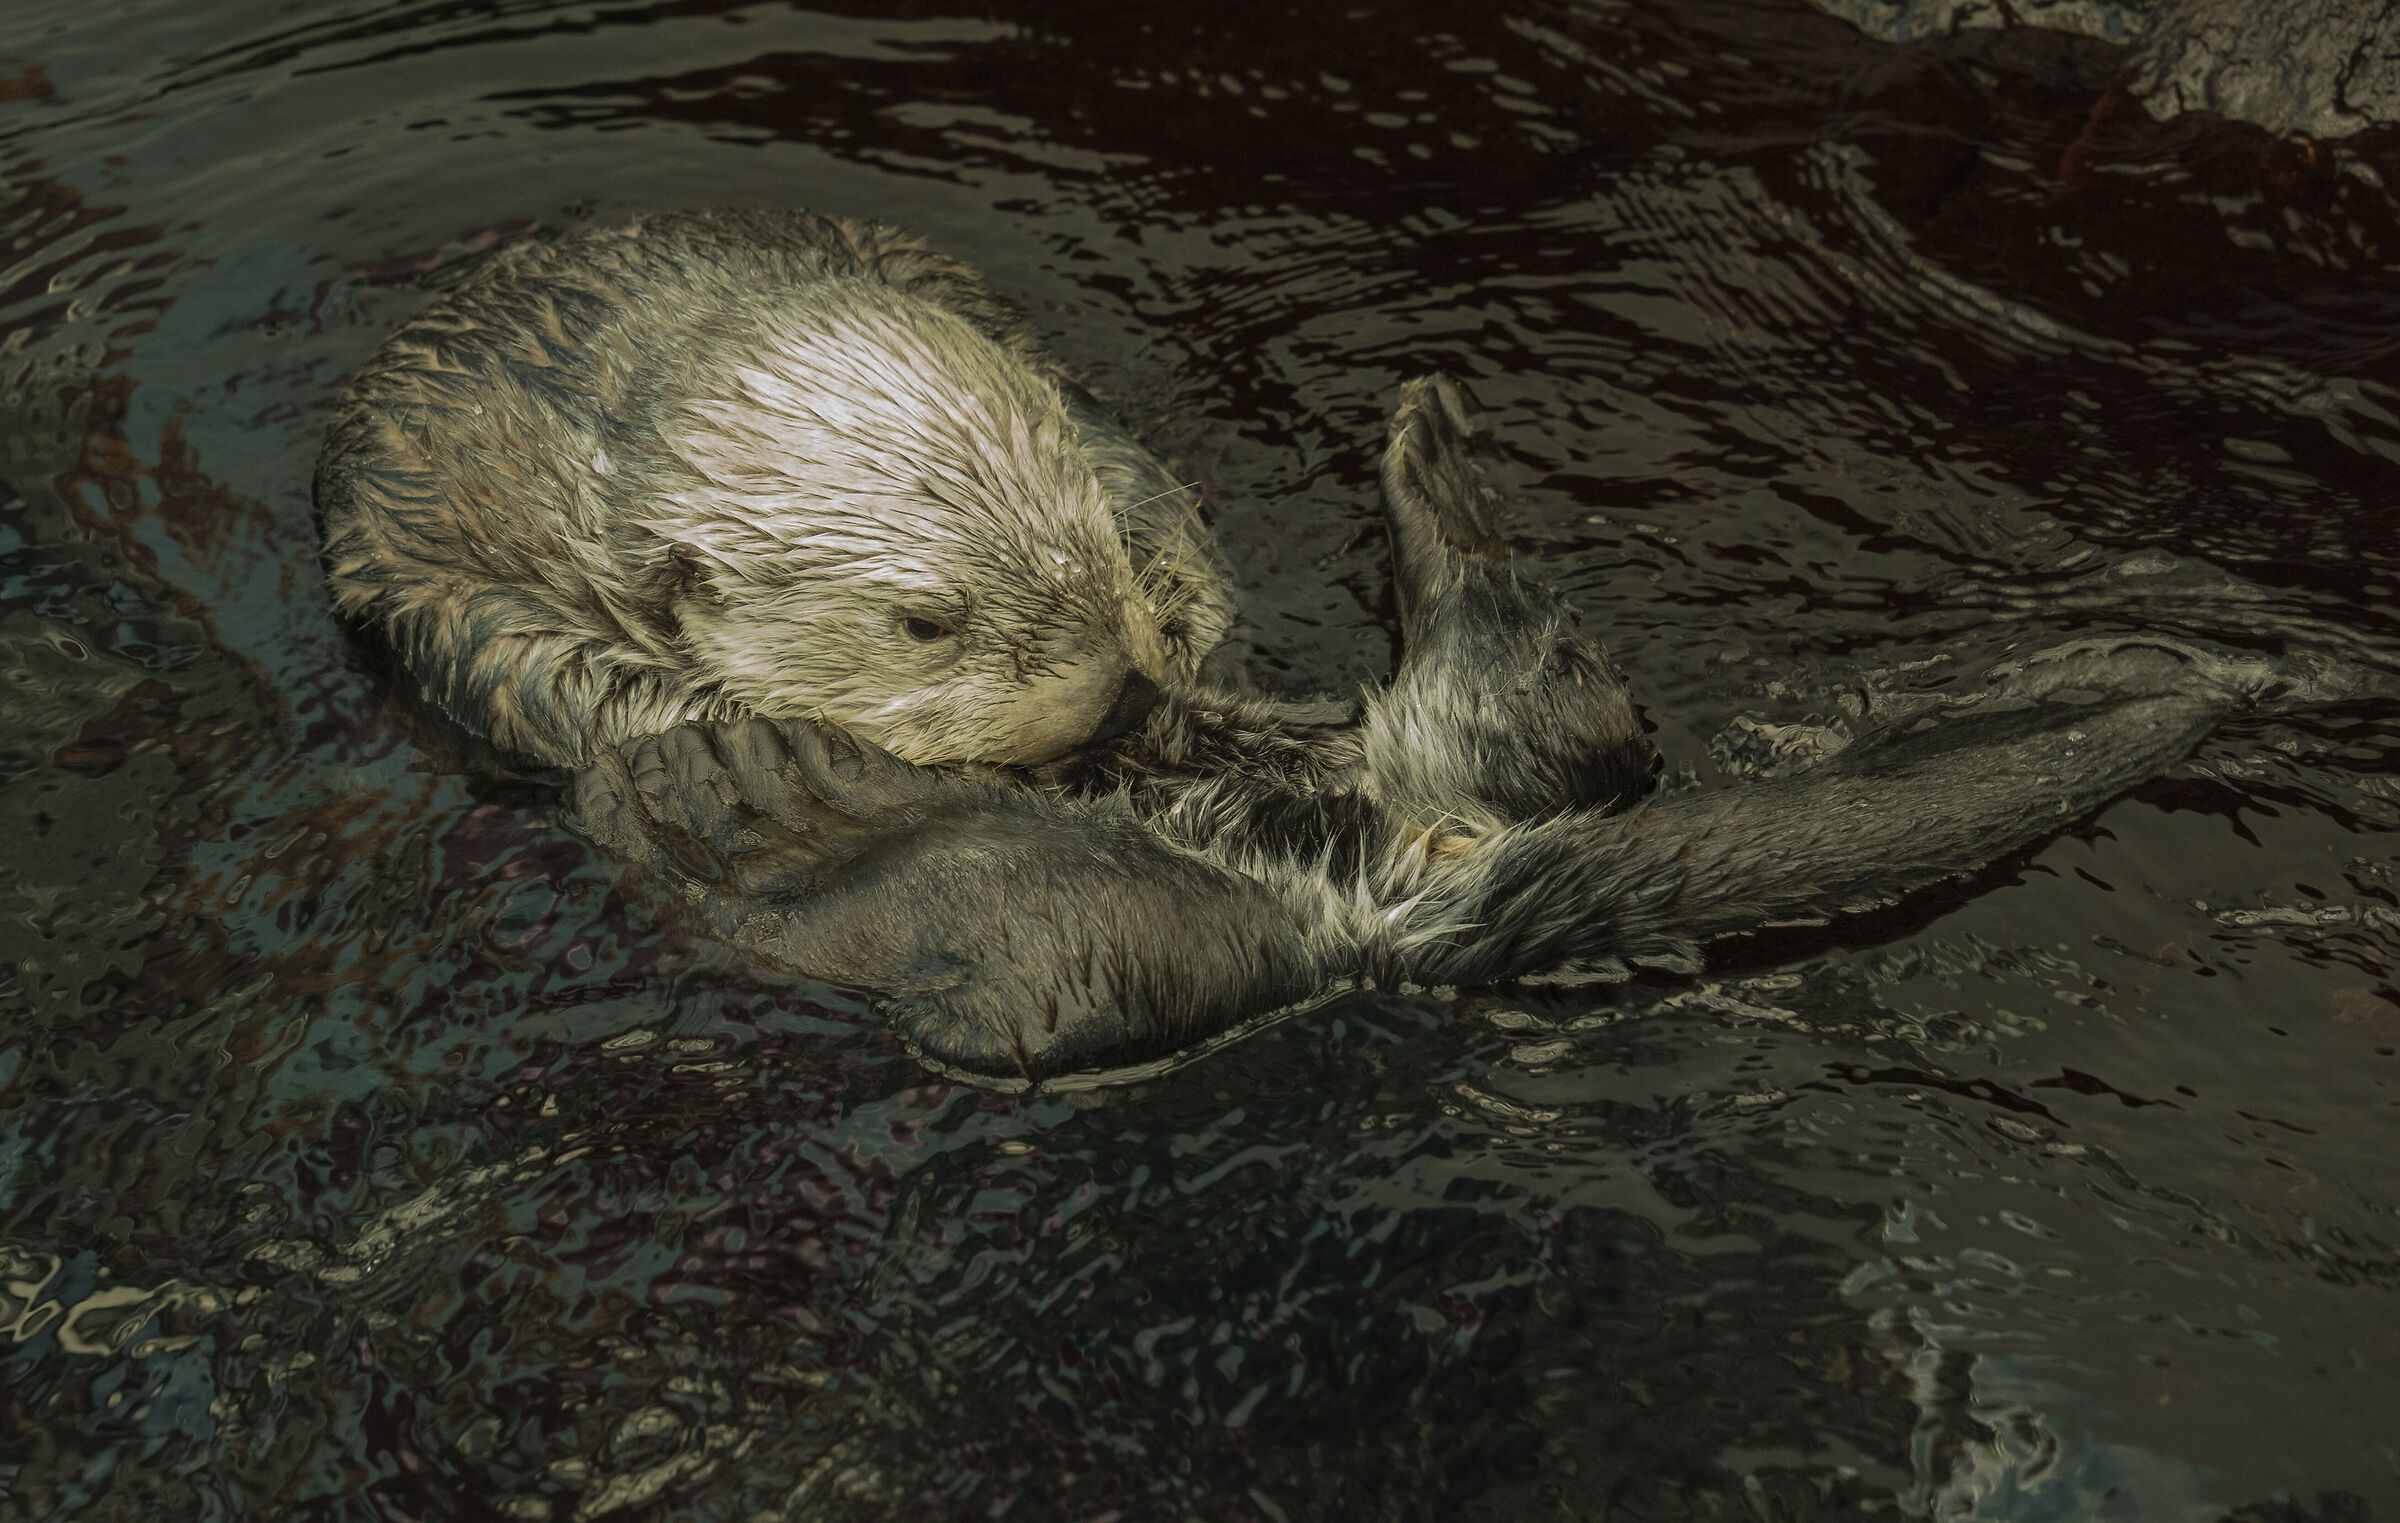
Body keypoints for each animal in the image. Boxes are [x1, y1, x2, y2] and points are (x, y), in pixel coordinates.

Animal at [321, 208, 2287, 1085]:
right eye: (923, 618)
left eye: (1087, 528)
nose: (1124, 690)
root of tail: (1376, 891)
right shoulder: (458, 578)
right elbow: (566, 675)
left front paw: (1188, 628)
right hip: (1093, 968)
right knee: (1063, 957)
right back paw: (764, 800)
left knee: (1552, 721)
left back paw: (1429, 479)